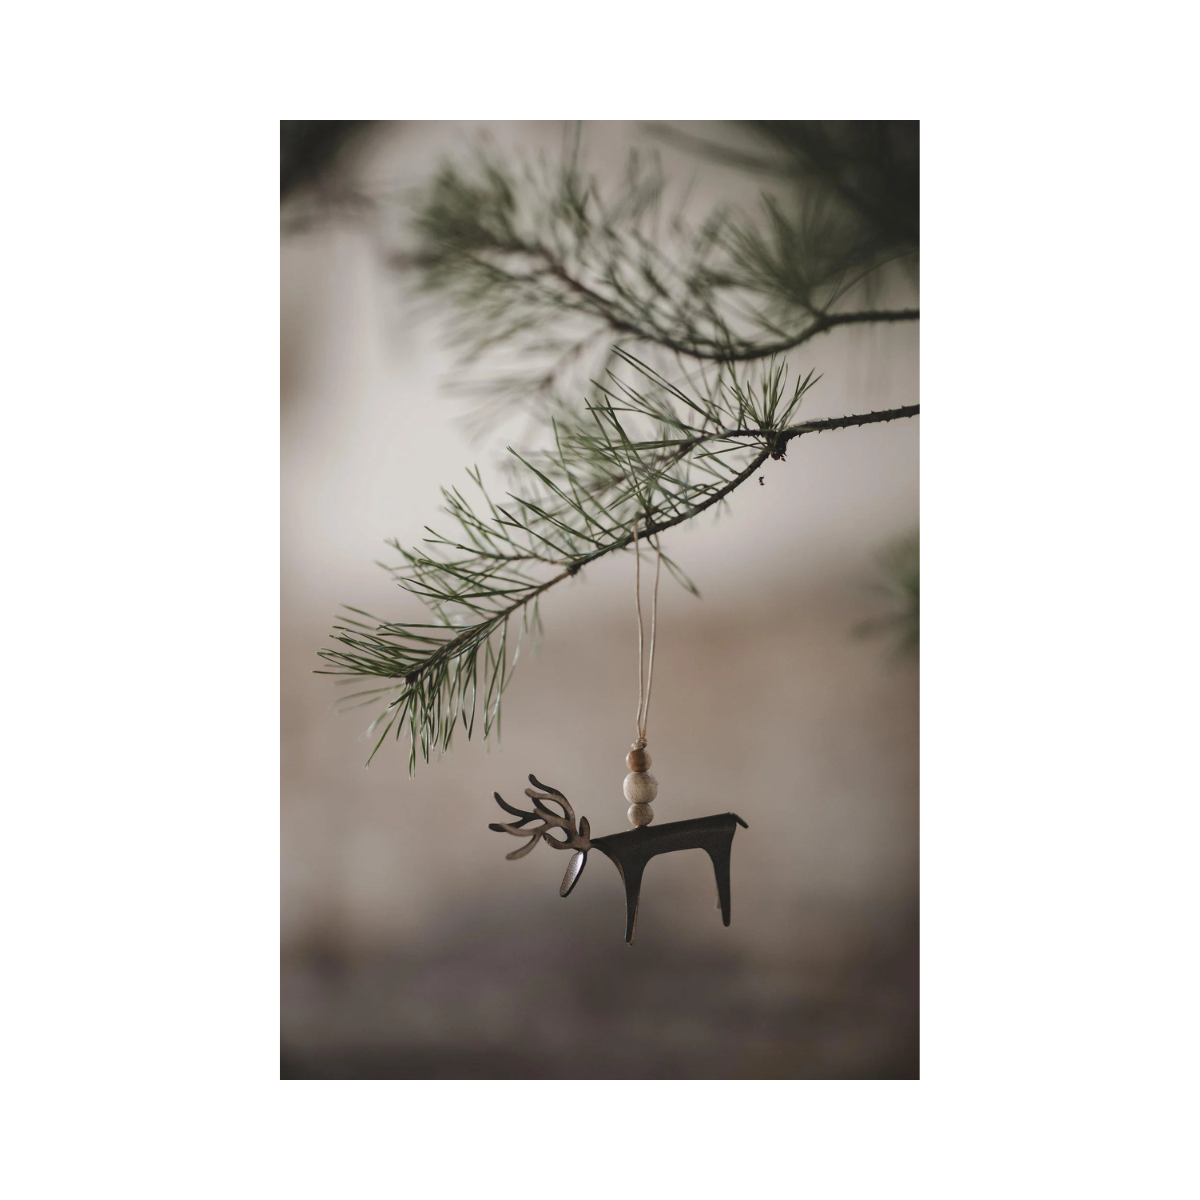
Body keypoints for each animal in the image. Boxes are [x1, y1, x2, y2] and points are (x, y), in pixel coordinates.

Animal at [490, 775, 749, 944]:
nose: (563, 892)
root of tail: (734, 817)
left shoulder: (632, 864)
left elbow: (631, 906)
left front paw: (628, 937)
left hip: (719, 846)